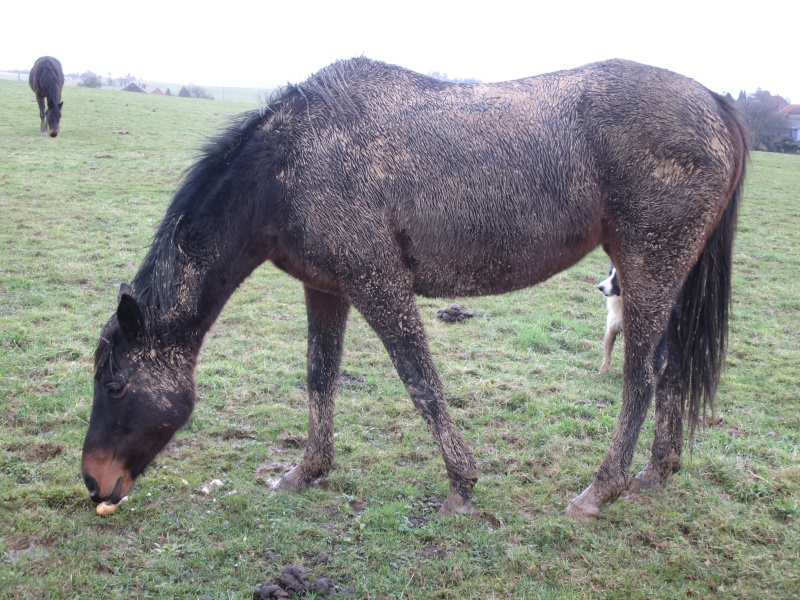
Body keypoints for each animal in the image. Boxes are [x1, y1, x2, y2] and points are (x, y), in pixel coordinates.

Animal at [78, 58, 748, 524]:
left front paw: (461, 485)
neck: (289, 164)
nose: (92, 482)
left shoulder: (378, 284)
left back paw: (599, 490)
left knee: (640, 375)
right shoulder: (328, 290)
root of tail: (715, 104)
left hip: (647, 267)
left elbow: (421, 381)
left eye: (116, 385)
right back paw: (657, 472)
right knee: (669, 367)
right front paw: (307, 470)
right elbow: (320, 378)